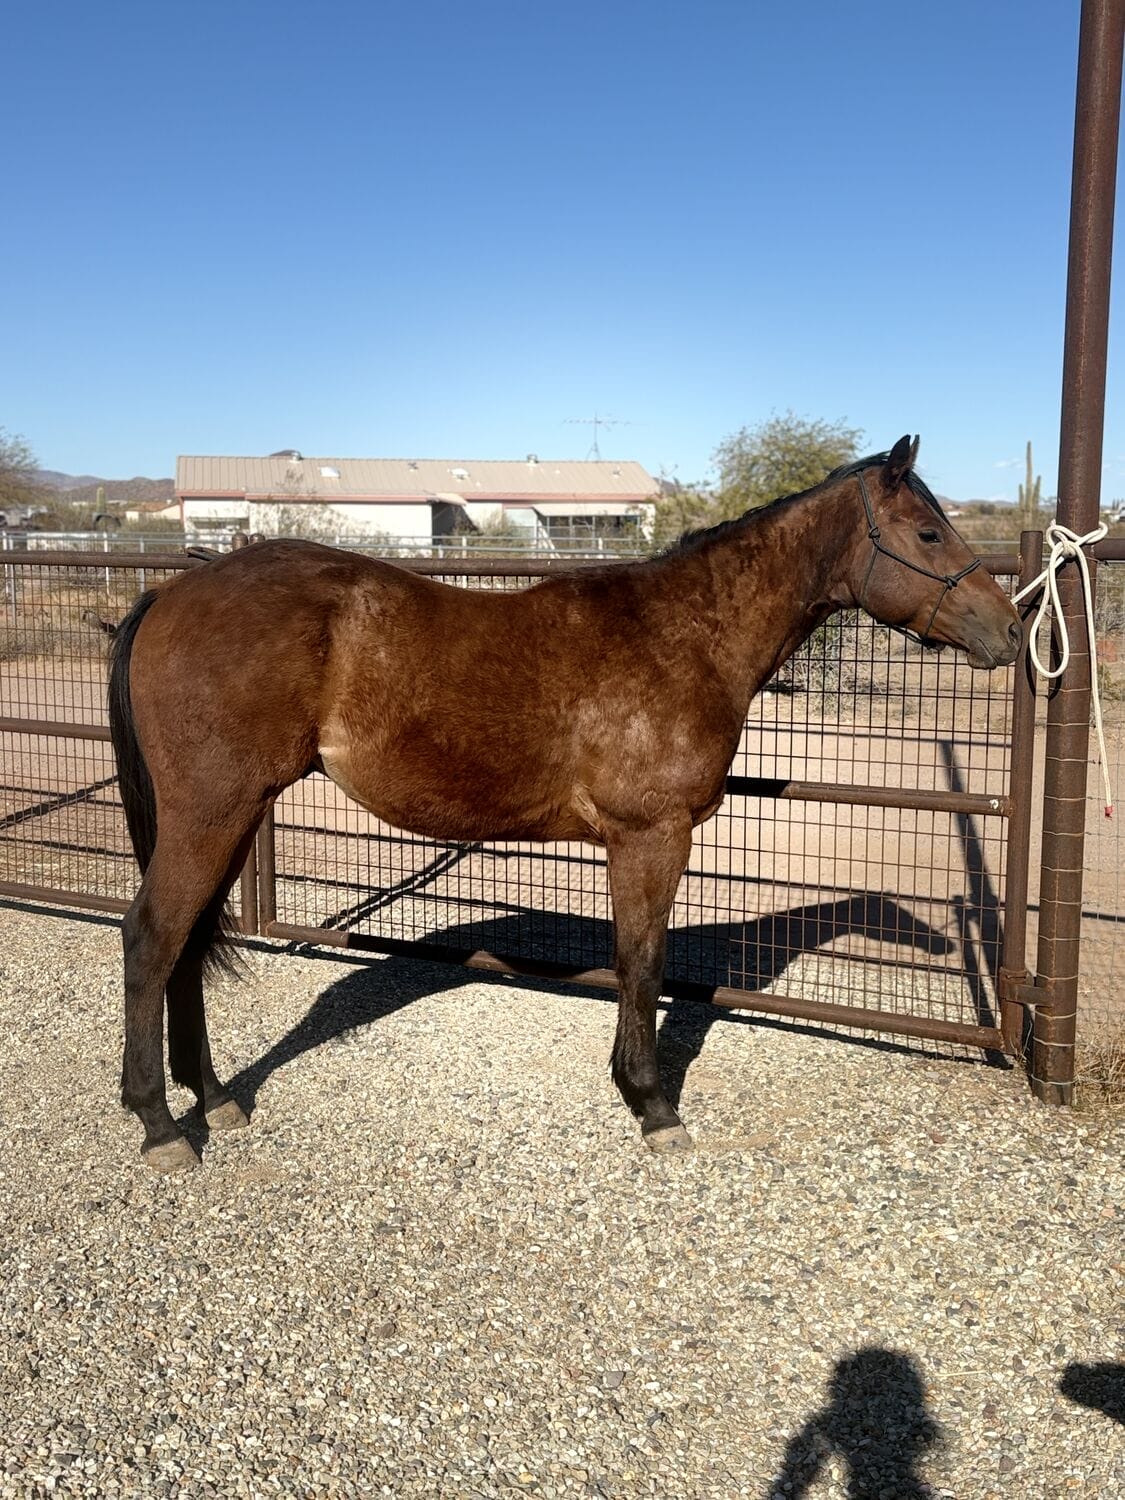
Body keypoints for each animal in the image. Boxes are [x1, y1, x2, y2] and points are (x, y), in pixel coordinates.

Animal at [108, 436, 1021, 1171]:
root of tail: (171, 594)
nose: (1009, 631)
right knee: (152, 937)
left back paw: (212, 1096)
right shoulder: (650, 837)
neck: (684, 634)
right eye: (928, 532)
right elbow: (641, 963)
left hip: (234, 814)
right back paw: (159, 1126)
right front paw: (651, 1106)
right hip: (211, 811)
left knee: (186, 943)